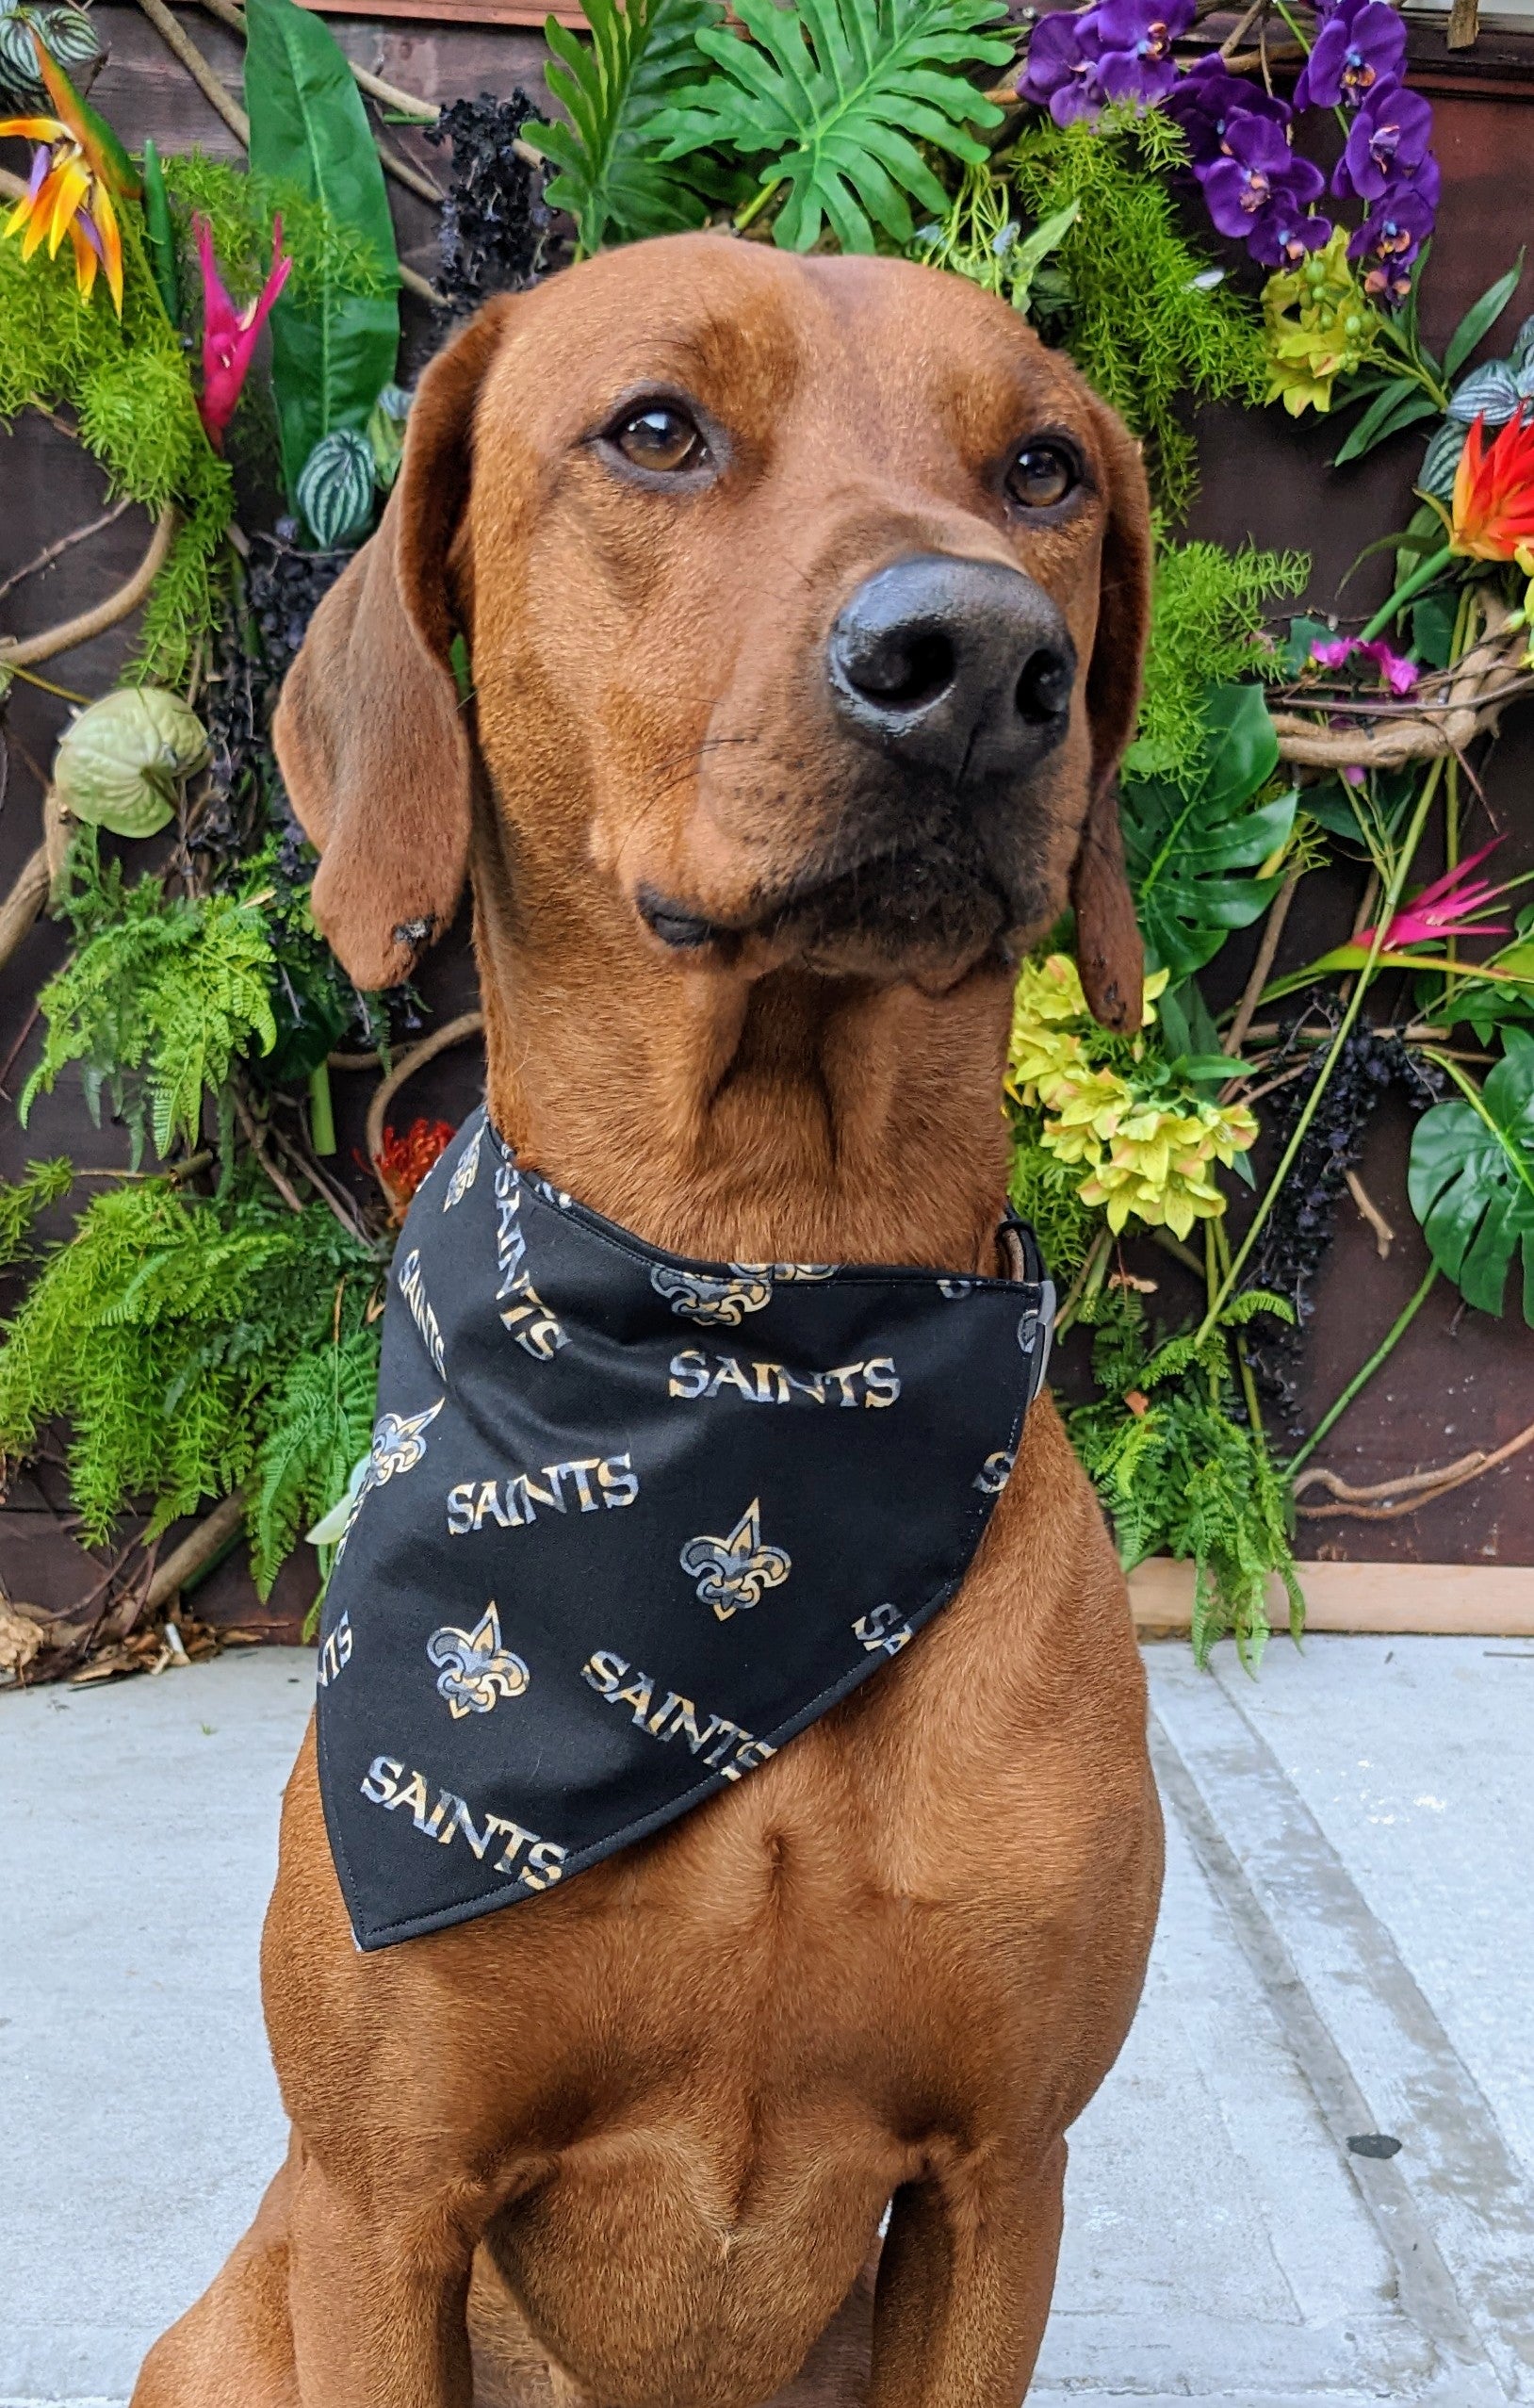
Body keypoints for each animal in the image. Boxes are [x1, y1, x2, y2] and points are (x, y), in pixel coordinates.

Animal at [135, 230, 1160, 2408]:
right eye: (658, 430)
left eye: (1041, 469)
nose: (980, 657)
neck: (747, 1319)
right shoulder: (384, 2199)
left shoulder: (998, 2178)